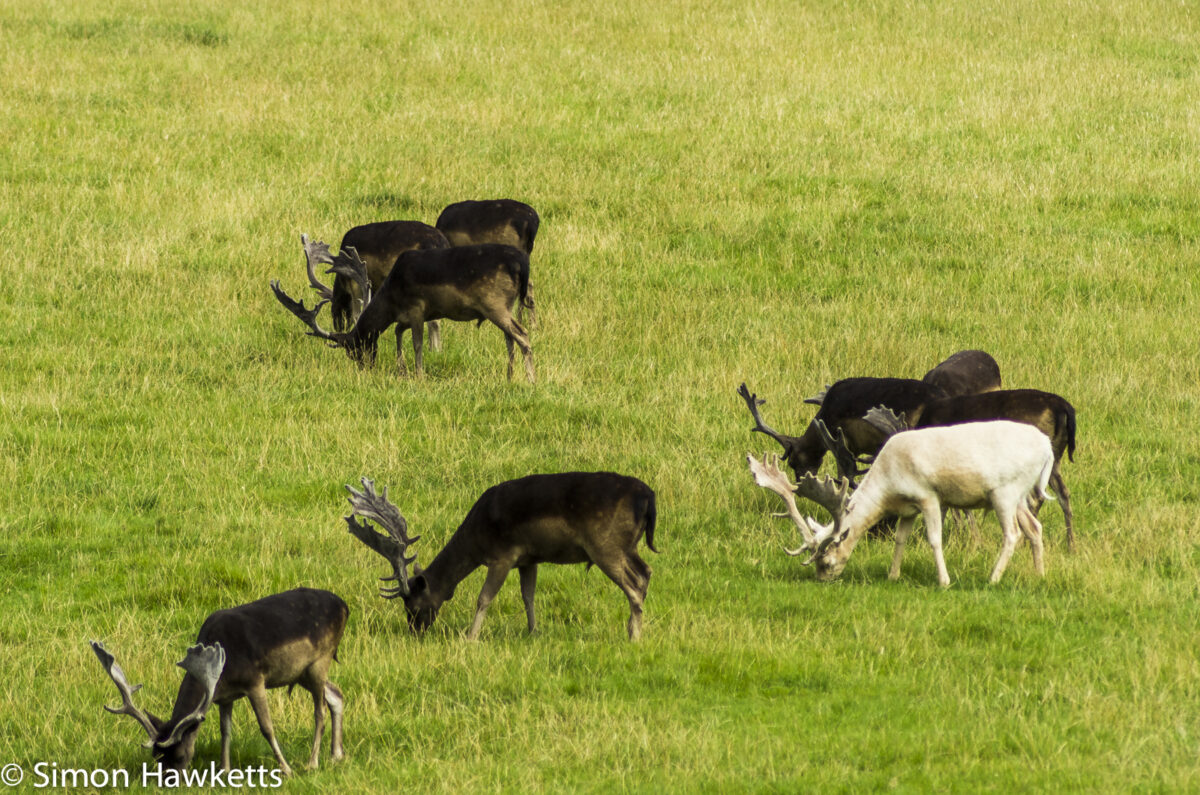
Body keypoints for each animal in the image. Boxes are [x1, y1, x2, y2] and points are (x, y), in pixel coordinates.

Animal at [90, 588, 348, 777]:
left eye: (179, 755)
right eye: (156, 756)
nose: (167, 782)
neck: (223, 668)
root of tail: (345, 606)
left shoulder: (255, 681)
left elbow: (266, 727)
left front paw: (286, 769)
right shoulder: (224, 697)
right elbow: (225, 731)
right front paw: (224, 771)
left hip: (319, 661)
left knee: (319, 710)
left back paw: (312, 763)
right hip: (300, 672)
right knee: (336, 693)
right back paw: (336, 755)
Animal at [271, 235, 535, 382]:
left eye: (353, 348)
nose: (365, 368)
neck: (391, 297)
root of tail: (522, 264)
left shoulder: (418, 308)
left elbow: (417, 342)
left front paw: (418, 375)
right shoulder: (404, 316)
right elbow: (398, 333)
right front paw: (402, 369)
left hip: (494, 303)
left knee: (521, 334)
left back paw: (531, 379)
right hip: (504, 305)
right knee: (510, 338)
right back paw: (510, 377)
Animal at [343, 473, 658, 640]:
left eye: (413, 605)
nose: (414, 631)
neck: (475, 539)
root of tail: (649, 497)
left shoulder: (503, 556)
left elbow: (484, 598)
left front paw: (470, 637)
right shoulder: (529, 559)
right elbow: (528, 595)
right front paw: (533, 631)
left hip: (606, 545)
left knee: (635, 582)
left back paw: (634, 635)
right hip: (628, 546)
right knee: (647, 571)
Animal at [746, 419, 1055, 586]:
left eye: (825, 558)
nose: (822, 578)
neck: (889, 482)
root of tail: (1048, 447)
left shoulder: (928, 495)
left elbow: (934, 539)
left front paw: (944, 581)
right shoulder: (908, 507)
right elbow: (900, 538)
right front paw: (893, 576)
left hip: (1005, 492)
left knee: (1012, 534)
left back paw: (993, 578)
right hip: (1020, 496)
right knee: (1035, 528)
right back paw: (1039, 575)